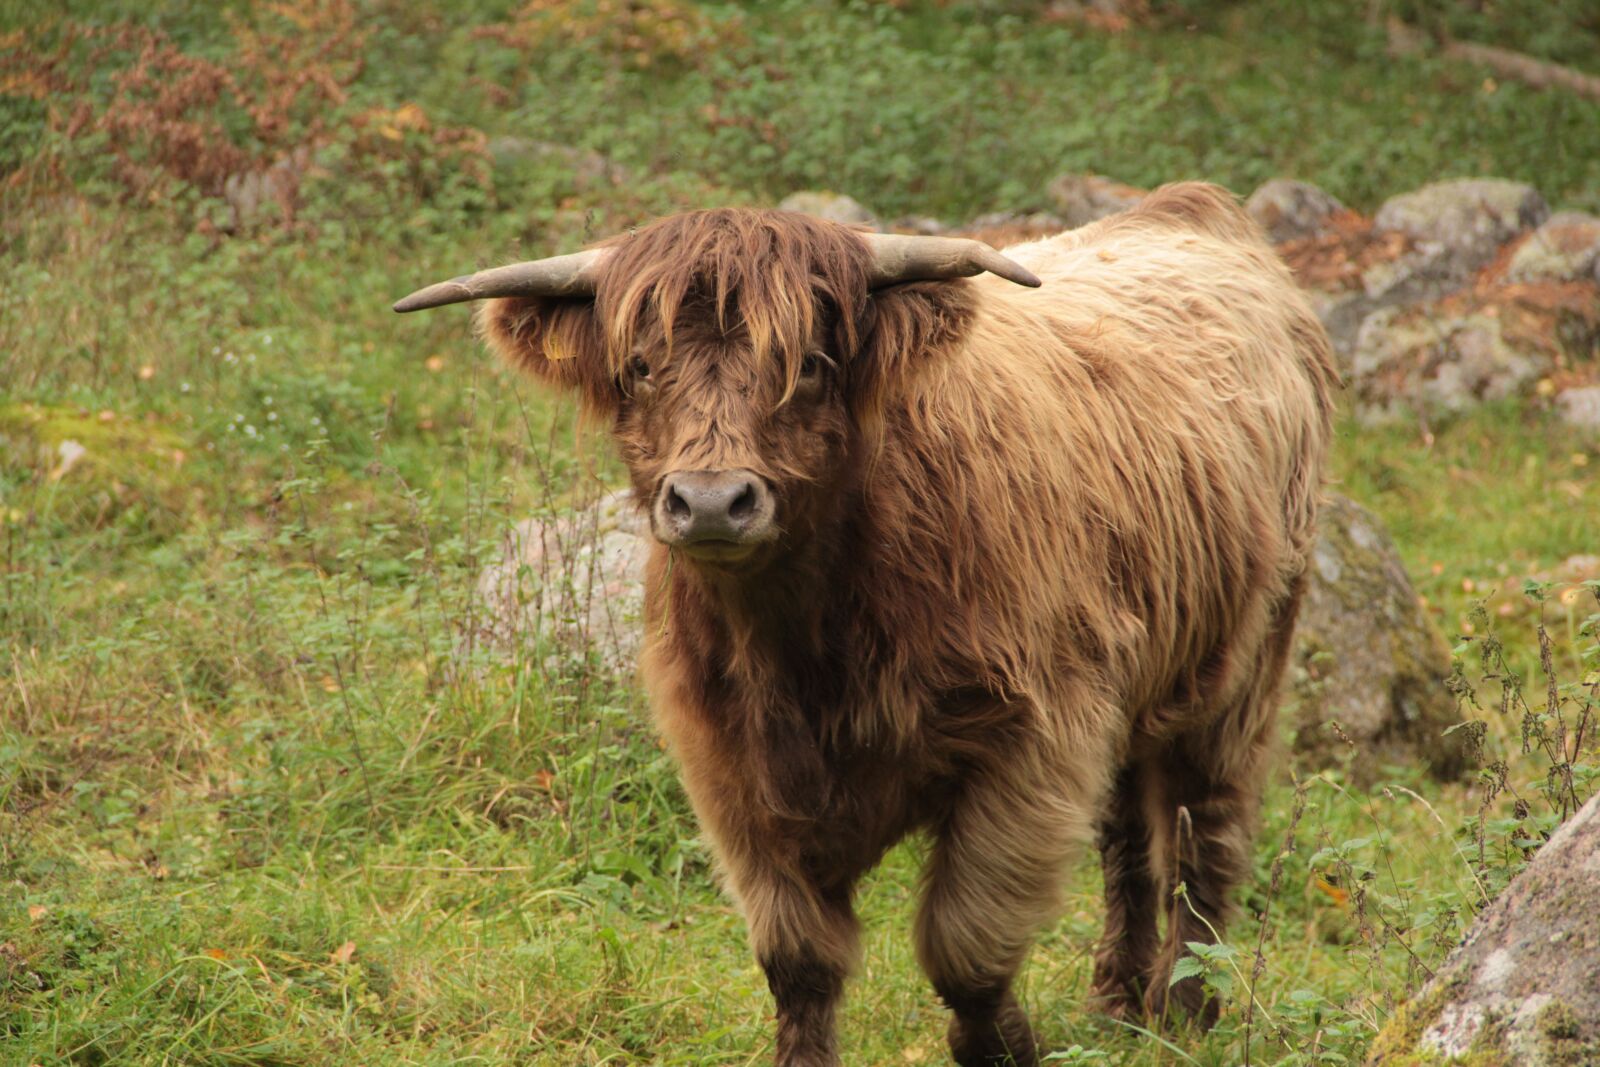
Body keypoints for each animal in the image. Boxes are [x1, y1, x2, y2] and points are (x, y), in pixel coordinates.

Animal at [395, 182, 1337, 1066]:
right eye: (639, 367)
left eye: (811, 364)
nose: (712, 501)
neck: (806, 644)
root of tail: (1188, 209)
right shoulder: (729, 768)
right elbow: (799, 958)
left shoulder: (1035, 740)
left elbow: (965, 942)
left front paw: (1007, 1046)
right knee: (1128, 836)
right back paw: (1117, 1003)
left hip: (1246, 660)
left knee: (1205, 830)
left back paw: (1187, 1009)